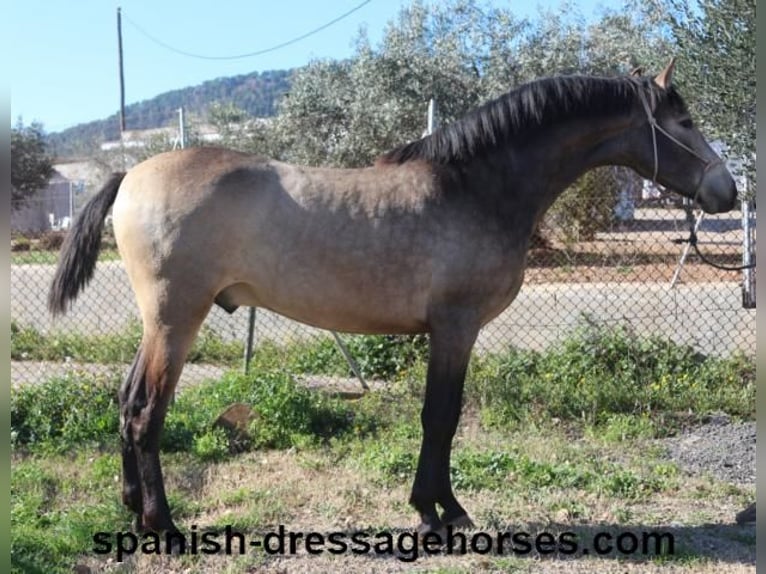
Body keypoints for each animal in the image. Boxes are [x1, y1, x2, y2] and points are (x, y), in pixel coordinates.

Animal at [48, 58, 736, 536]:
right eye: (684, 122)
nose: (726, 190)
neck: (476, 186)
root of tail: (129, 174)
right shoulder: (456, 327)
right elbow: (442, 416)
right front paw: (438, 513)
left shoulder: (451, 331)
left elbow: (442, 418)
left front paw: (438, 508)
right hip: (175, 320)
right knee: (146, 413)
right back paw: (161, 524)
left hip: (160, 324)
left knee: (126, 403)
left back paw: (132, 508)